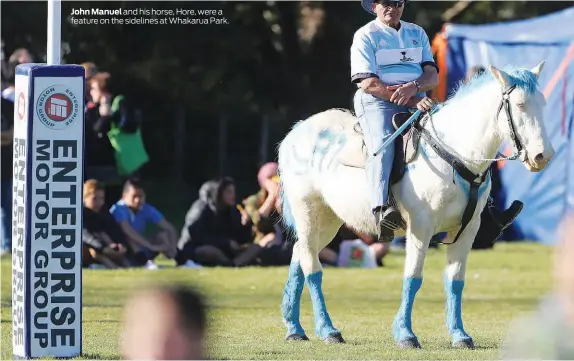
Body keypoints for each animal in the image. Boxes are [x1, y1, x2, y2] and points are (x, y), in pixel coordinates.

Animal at [280, 62, 560, 348]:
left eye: (543, 102)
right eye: (520, 104)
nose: (543, 156)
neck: (456, 154)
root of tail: (297, 131)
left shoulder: (467, 229)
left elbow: (456, 280)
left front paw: (460, 335)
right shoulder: (420, 227)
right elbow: (413, 277)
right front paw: (406, 334)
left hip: (329, 221)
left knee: (300, 254)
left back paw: (295, 328)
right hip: (308, 212)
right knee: (313, 267)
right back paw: (328, 330)